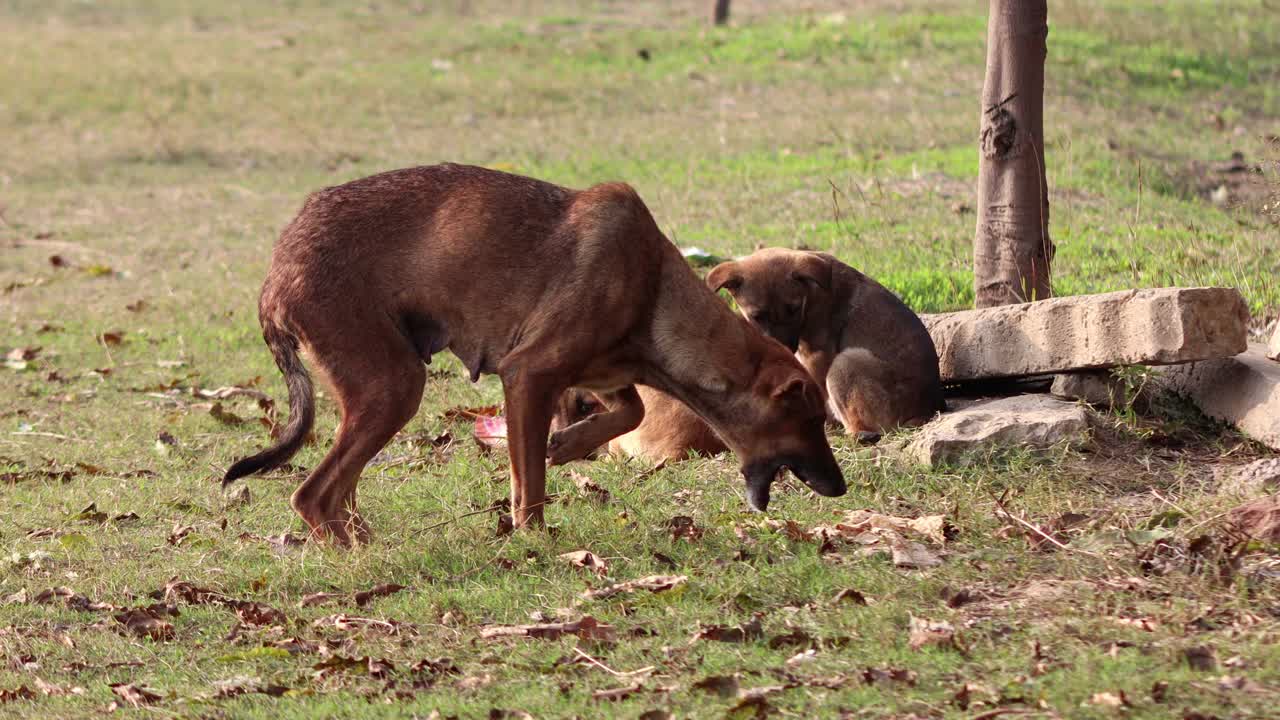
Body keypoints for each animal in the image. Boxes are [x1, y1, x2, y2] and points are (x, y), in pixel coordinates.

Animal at [706, 245, 947, 438]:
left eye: (793, 309)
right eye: (757, 316)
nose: (783, 348)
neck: (811, 293)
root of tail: (926, 411)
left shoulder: (816, 355)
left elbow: (820, 394)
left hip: (846, 361)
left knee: (859, 428)